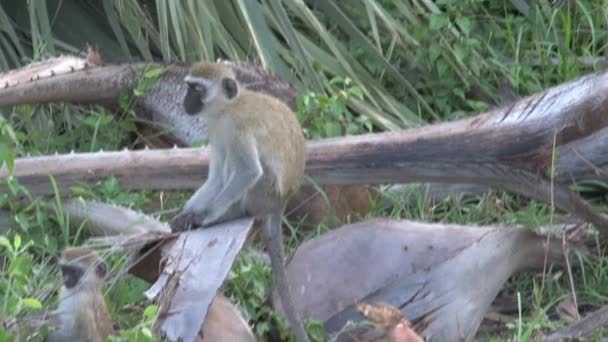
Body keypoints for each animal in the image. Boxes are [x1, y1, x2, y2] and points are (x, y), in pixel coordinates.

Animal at [171, 61, 312, 342]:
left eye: (197, 89)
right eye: (188, 87)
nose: (185, 101)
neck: (227, 108)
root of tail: (281, 202)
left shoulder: (238, 128)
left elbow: (248, 171)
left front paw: (203, 217)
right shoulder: (217, 129)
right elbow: (215, 177)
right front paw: (186, 215)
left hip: (265, 193)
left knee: (252, 172)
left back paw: (232, 213)